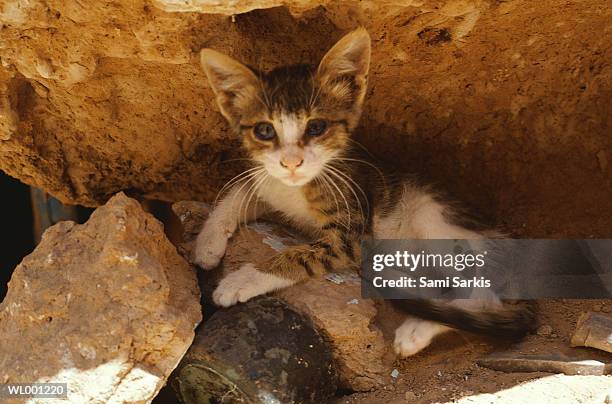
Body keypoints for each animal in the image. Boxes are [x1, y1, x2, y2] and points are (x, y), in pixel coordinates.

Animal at [194, 28, 532, 356]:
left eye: (316, 127)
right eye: (264, 130)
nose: (291, 163)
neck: (298, 188)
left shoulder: (350, 234)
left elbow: (299, 255)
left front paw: (242, 279)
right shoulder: (268, 181)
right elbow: (237, 193)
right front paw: (206, 244)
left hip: (434, 217)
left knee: (484, 296)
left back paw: (416, 328)